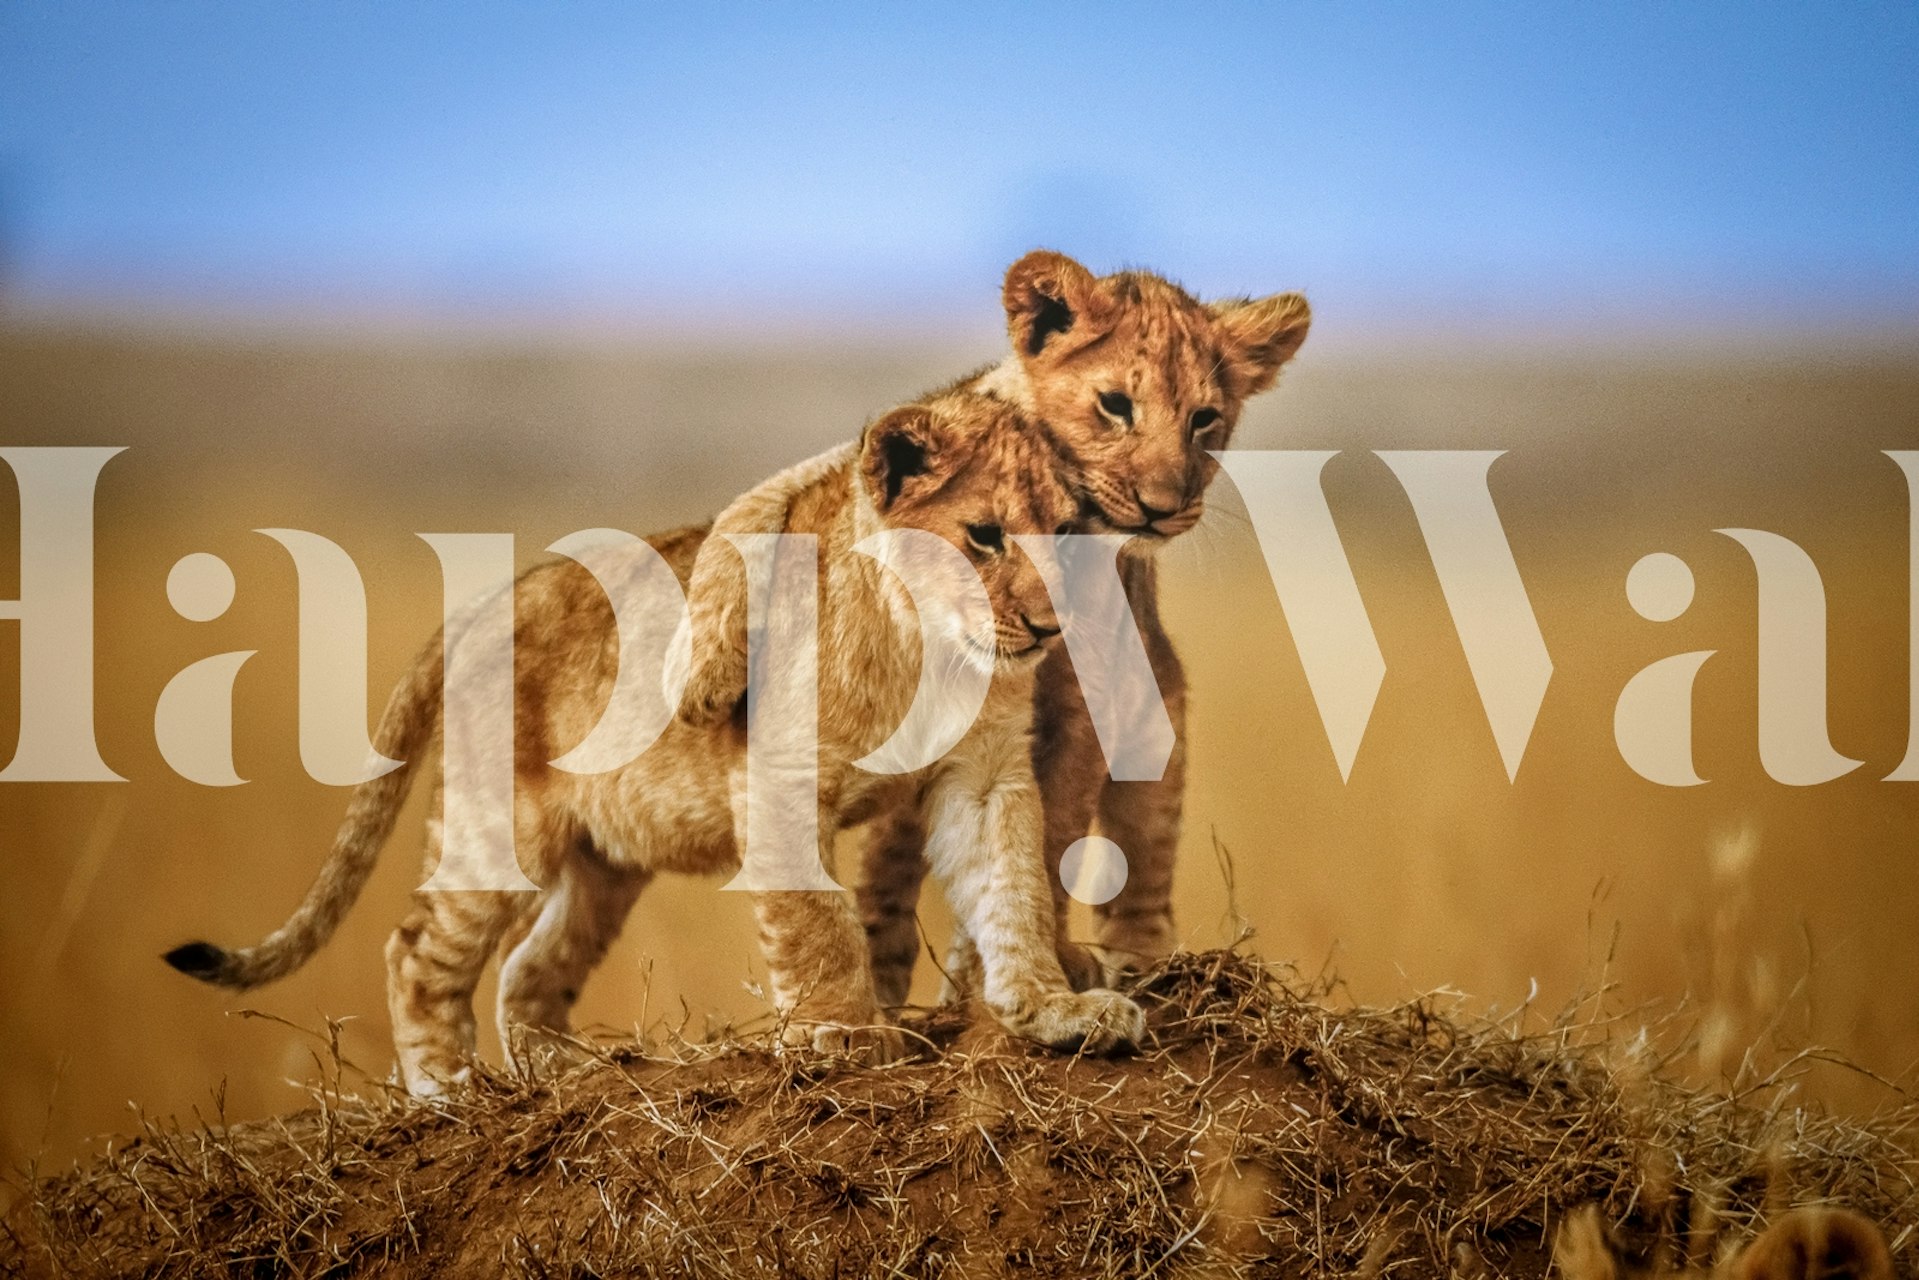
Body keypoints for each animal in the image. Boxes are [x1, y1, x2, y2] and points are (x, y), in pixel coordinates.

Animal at [165, 388, 1146, 1094]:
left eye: (1068, 534)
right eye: (983, 536)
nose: (1048, 626)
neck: (928, 649)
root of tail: (488, 599)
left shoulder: (984, 778)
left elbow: (1013, 890)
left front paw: (1054, 1010)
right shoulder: (779, 776)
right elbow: (817, 919)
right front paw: (841, 1031)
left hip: (604, 863)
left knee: (528, 970)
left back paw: (567, 1072)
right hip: (498, 829)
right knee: (417, 952)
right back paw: (448, 1092)